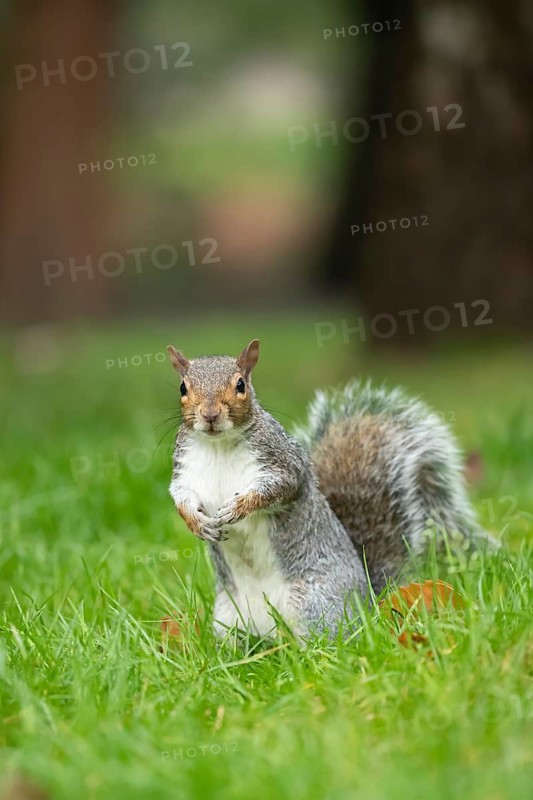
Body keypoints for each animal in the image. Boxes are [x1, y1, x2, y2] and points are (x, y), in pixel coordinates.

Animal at [167, 339, 492, 640]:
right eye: (183, 388)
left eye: (240, 385)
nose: (210, 415)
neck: (217, 446)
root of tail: (366, 599)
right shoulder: (184, 474)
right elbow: (181, 499)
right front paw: (196, 523)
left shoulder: (285, 464)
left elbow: (277, 489)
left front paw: (238, 507)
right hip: (227, 615)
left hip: (314, 604)